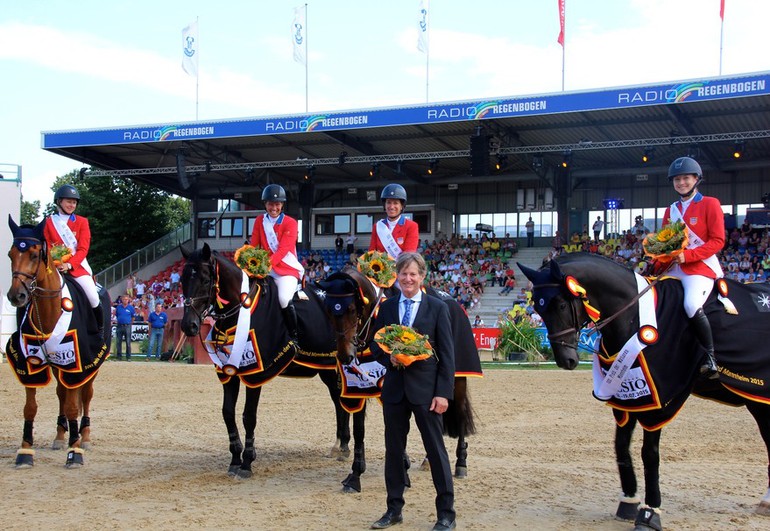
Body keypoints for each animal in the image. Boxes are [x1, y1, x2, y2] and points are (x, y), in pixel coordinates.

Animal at [5, 214, 111, 468]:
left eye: (34, 254)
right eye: (11, 254)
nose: (16, 296)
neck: (48, 311)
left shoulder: (76, 362)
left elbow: (74, 406)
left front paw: (75, 452)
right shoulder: (31, 363)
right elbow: (30, 408)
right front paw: (25, 451)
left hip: (92, 365)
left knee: (86, 395)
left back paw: (85, 437)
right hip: (56, 364)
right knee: (62, 393)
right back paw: (60, 435)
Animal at [178, 245, 364, 482]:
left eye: (204, 279)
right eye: (183, 279)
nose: (189, 325)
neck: (242, 311)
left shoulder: (255, 373)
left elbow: (248, 416)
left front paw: (247, 462)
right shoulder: (229, 373)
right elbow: (227, 412)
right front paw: (235, 459)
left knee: (341, 400)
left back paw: (344, 447)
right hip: (328, 368)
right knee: (337, 400)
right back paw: (341, 445)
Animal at [316, 266, 476, 494]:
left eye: (352, 310)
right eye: (329, 311)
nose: (346, 356)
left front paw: (403, 472)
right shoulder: (362, 388)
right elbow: (360, 431)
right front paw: (355, 475)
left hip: (458, 379)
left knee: (460, 415)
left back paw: (461, 464)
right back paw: (428, 460)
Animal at [516, 255, 768, 531]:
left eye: (561, 304)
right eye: (539, 309)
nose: (566, 360)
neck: (635, 318)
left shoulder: (658, 401)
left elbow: (649, 455)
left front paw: (650, 512)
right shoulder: (627, 398)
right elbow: (620, 447)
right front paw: (628, 500)